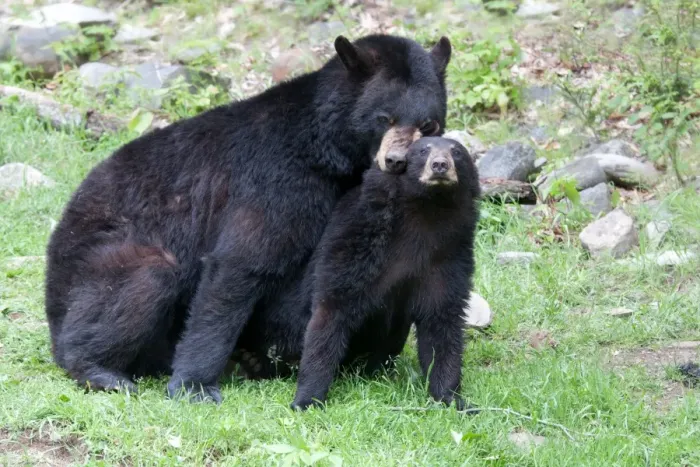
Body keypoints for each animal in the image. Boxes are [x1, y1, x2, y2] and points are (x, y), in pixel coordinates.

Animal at [44, 33, 453, 403]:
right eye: (384, 117)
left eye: (429, 125)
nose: (396, 161)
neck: (329, 150)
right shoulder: (277, 179)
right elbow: (241, 262)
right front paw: (195, 386)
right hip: (96, 259)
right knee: (144, 279)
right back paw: (101, 370)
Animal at [287, 136, 481, 411]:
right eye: (423, 151)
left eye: (457, 152)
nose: (440, 165)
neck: (427, 210)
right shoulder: (360, 235)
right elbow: (332, 305)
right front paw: (307, 399)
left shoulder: (449, 254)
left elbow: (442, 319)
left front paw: (452, 397)